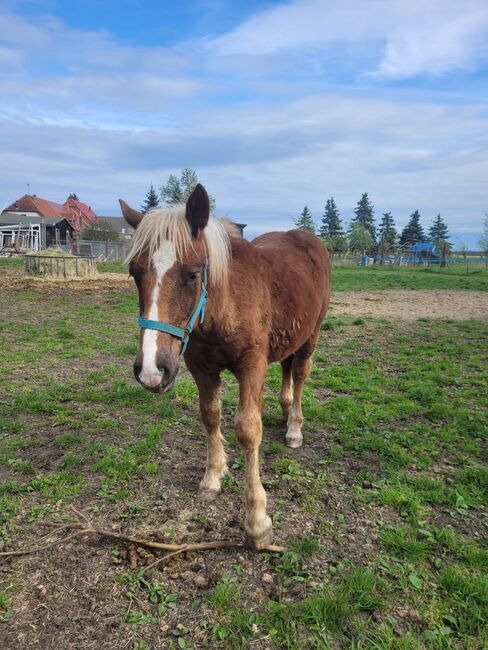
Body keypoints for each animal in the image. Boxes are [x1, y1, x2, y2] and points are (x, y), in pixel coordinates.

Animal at [119, 184, 330, 548]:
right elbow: (210, 416)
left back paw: (294, 428)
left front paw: (257, 520)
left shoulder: (252, 365)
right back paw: (285, 409)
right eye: (135, 273)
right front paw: (213, 475)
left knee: (300, 372)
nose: (151, 371)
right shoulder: (200, 367)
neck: (222, 307)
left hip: (311, 335)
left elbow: (248, 430)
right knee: (288, 369)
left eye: (192, 275)